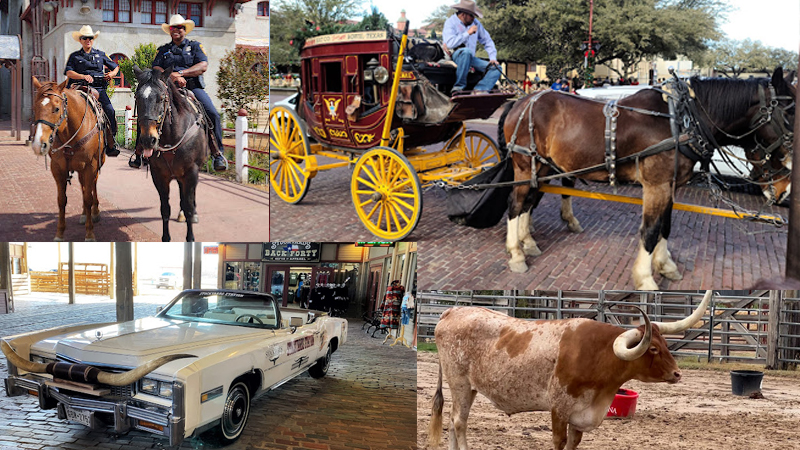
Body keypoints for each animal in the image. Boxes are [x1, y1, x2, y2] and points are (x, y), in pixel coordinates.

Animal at [31, 76, 110, 243]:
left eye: (56, 109)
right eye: (35, 108)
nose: (38, 144)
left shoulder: (91, 166)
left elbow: (88, 197)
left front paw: (89, 234)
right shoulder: (57, 168)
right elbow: (62, 200)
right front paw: (59, 233)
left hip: (97, 163)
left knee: (92, 186)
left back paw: (95, 212)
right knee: (83, 186)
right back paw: (84, 214)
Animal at [131, 65, 208, 241]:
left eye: (161, 98)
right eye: (137, 97)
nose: (148, 140)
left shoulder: (191, 172)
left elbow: (188, 205)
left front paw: (190, 237)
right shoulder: (159, 175)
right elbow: (165, 208)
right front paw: (166, 237)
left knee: (189, 197)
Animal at [500, 68, 792, 290]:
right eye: (790, 115)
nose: (787, 188)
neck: (681, 121)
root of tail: (521, 101)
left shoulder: (670, 186)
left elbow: (665, 226)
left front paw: (666, 265)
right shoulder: (656, 185)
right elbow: (650, 230)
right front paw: (646, 279)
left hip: (542, 167)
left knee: (529, 202)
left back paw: (528, 242)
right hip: (525, 166)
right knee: (515, 205)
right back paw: (516, 254)